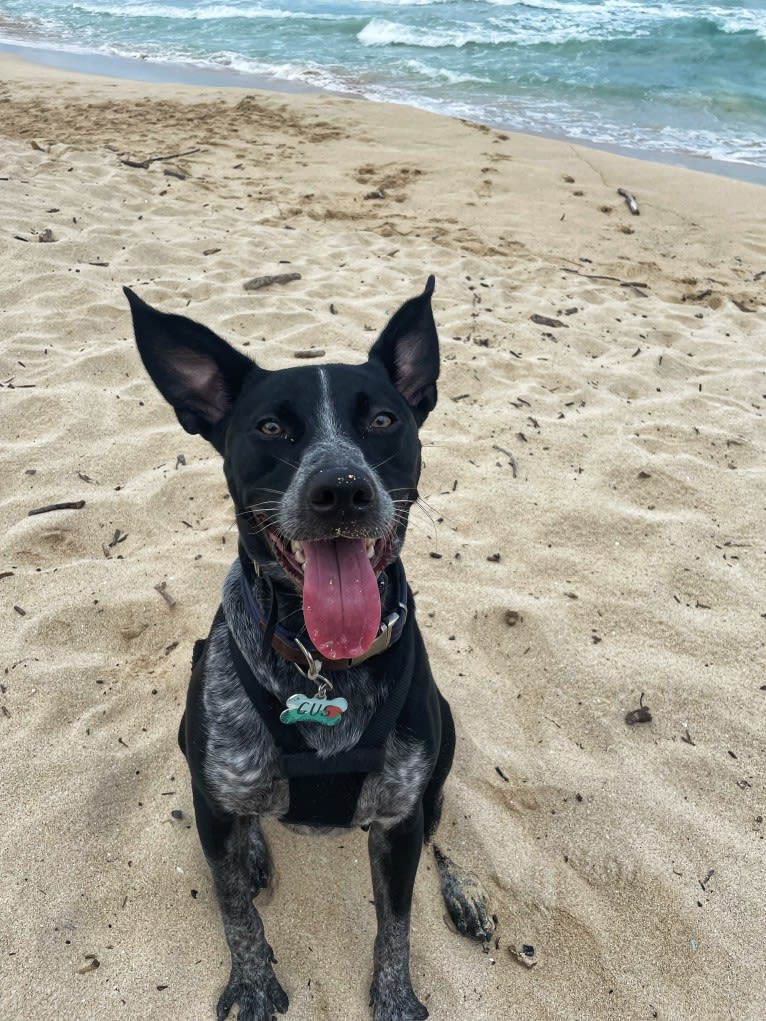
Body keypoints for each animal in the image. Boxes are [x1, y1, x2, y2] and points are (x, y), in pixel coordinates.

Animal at [124, 279, 498, 1021]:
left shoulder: (398, 821)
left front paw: (396, 996)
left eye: (382, 419)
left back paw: (464, 890)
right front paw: (251, 984)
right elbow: (235, 909)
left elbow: (396, 923)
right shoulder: (214, 797)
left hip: (443, 743)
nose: (341, 490)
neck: (322, 665)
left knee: (439, 822)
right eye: (271, 428)